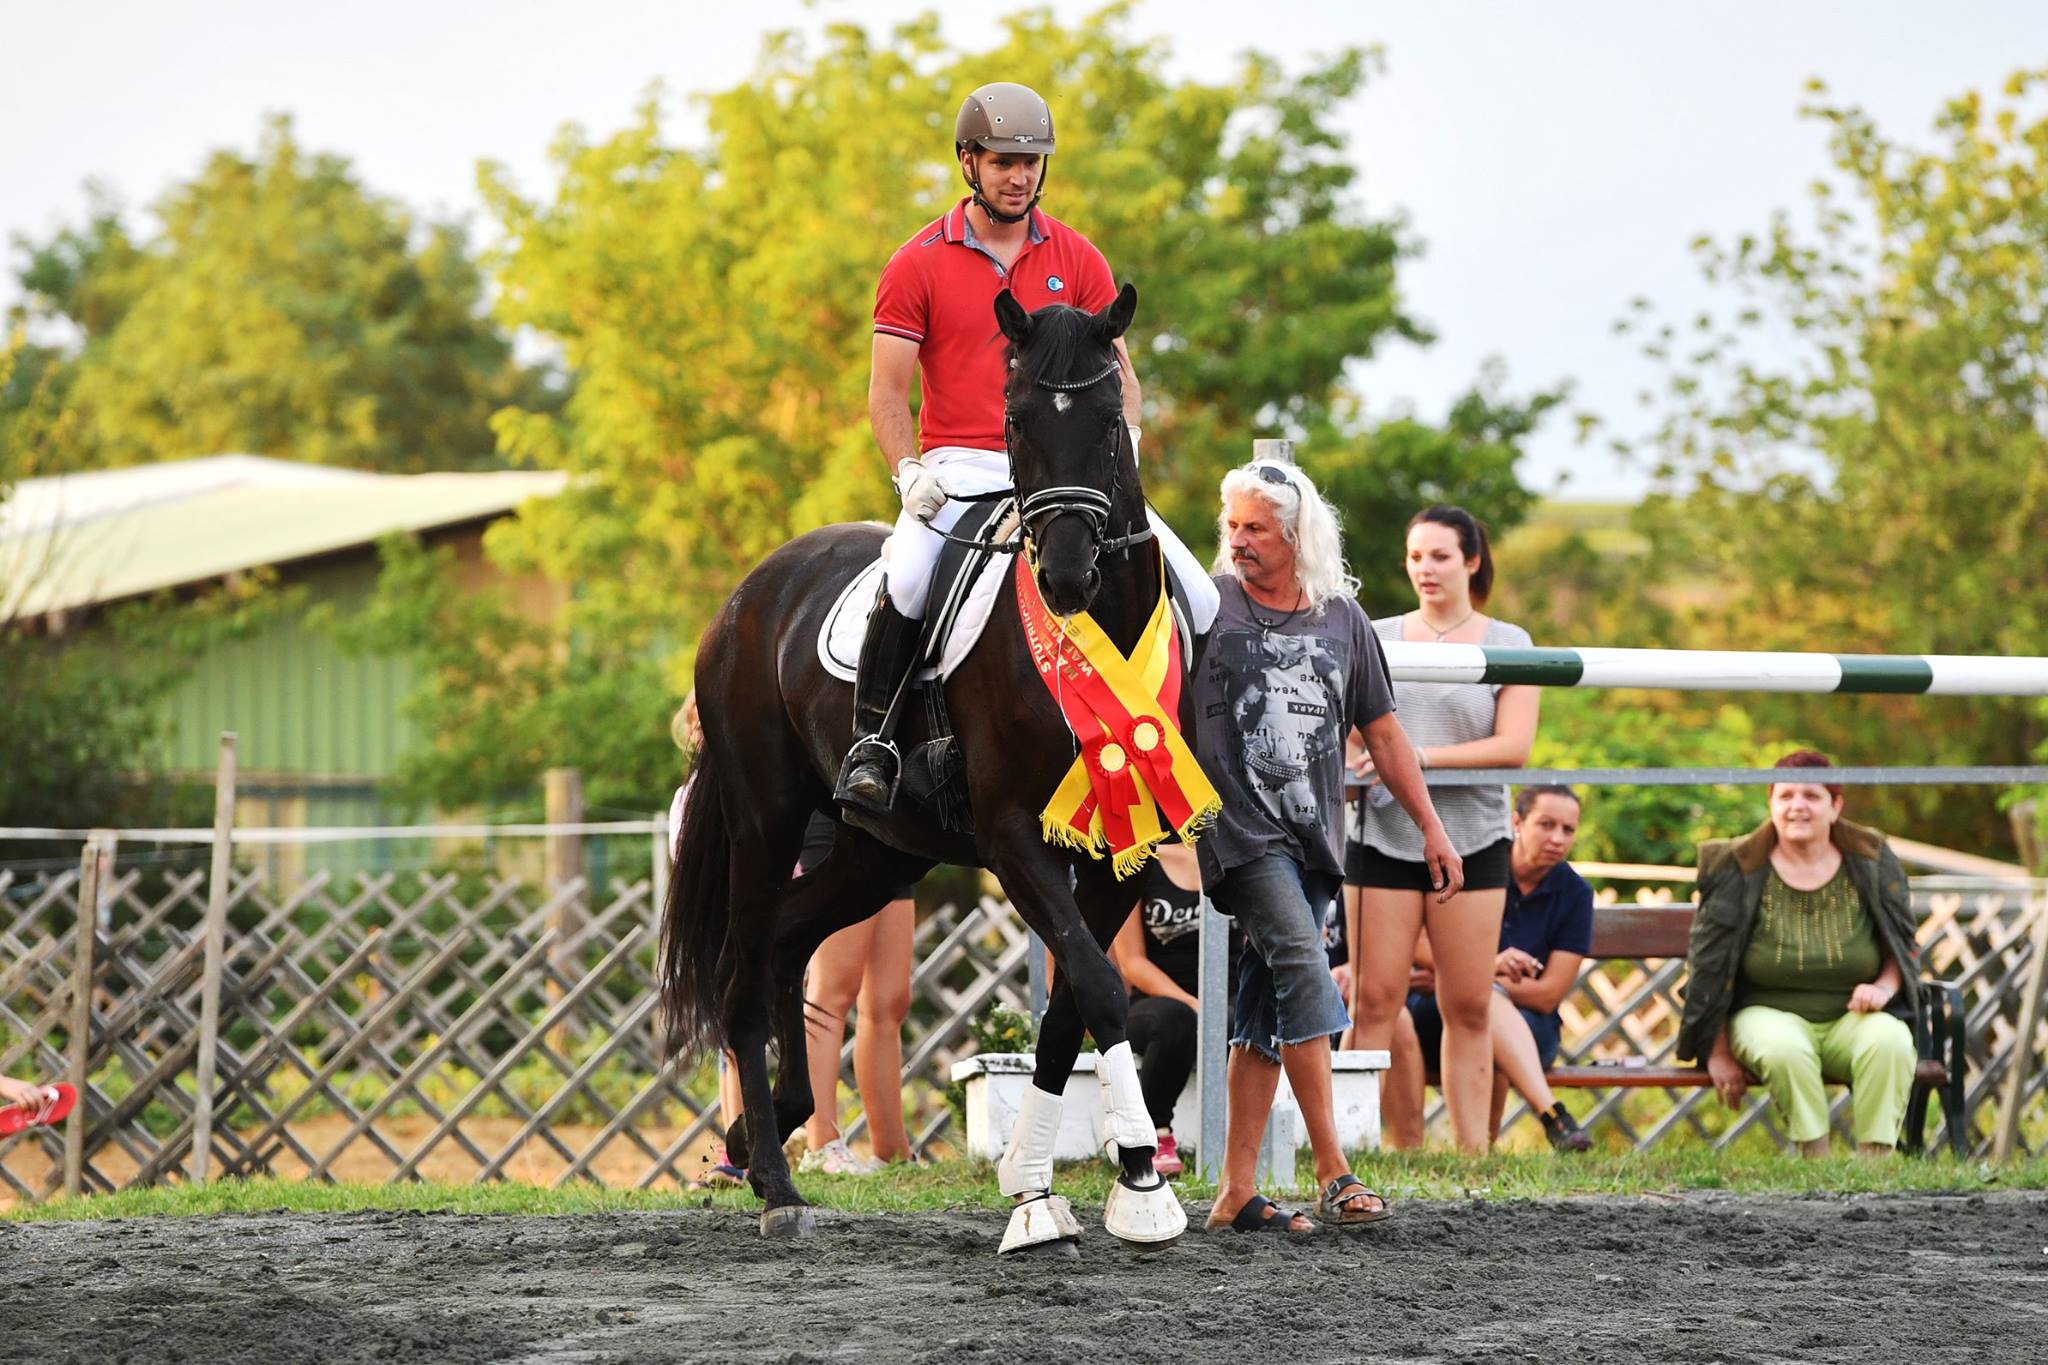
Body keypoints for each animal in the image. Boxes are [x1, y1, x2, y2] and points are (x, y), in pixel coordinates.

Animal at [663, 286, 1196, 1252]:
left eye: (1111, 421)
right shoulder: (1016, 838)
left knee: (787, 940)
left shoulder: (1116, 854)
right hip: (767, 819)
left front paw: (1042, 1183)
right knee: (742, 970)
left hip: (881, 853)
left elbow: (1070, 1006)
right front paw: (1137, 1183)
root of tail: (749, 593)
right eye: (1016, 420)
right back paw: (775, 1182)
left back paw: (766, 1135)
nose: (1067, 575)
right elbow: (1099, 986)